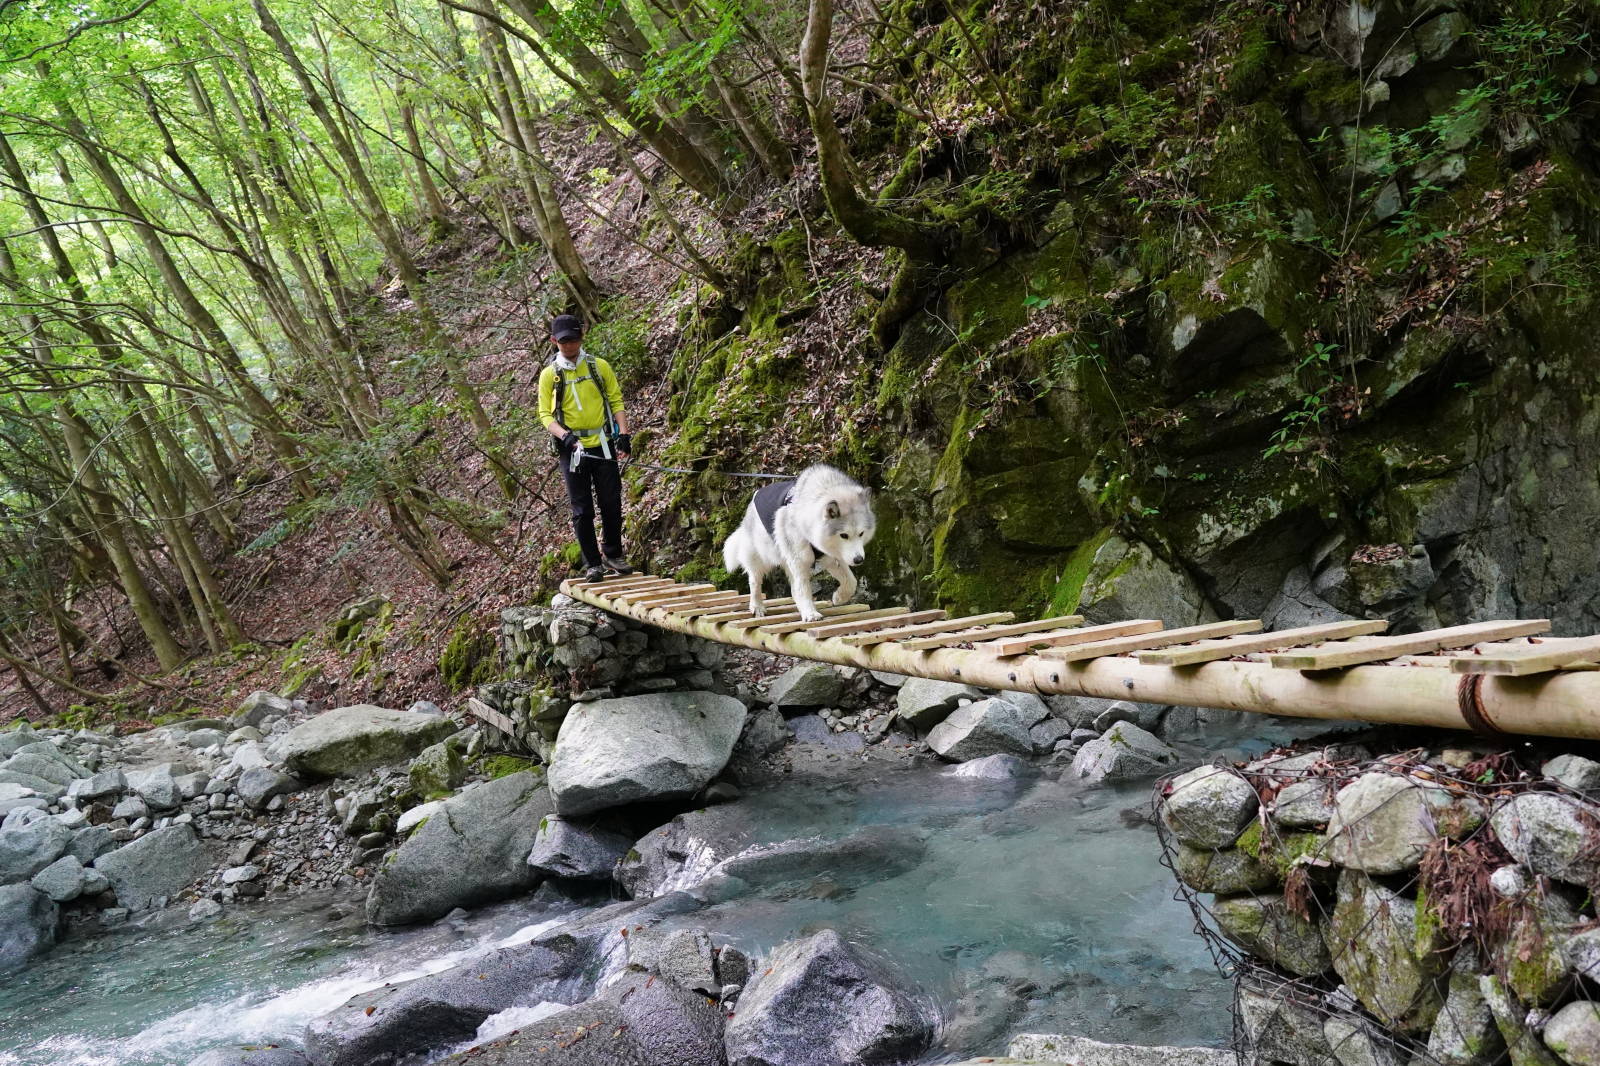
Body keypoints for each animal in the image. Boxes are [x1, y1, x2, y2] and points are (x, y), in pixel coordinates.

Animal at [723, 460, 876, 617]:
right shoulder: (800, 560)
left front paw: (839, 598)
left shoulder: (830, 557)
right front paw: (810, 614)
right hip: (761, 558)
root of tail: (754, 497)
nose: (859, 560)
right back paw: (757, 606)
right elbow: (804, 589)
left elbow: (851, 582)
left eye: (861, 533)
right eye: (844, 535)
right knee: (755, 581)